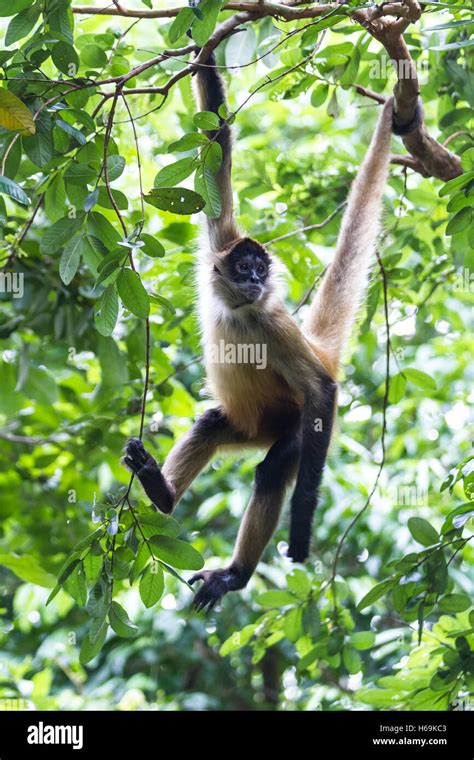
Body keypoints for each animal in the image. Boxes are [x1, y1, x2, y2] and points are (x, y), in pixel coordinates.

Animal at [123, 40, 422, 612]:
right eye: (245, 267)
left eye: (261, 271)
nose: (258, 278)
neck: (238, 311)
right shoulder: (220, 248)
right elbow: (217, 144)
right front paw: (207, 45)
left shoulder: (274, 322)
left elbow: (322, 388)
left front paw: (301, 529)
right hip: (248, 425)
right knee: (210, 424)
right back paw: (162, 494)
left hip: (295, 427)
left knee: (271, 468)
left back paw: (237, 574)